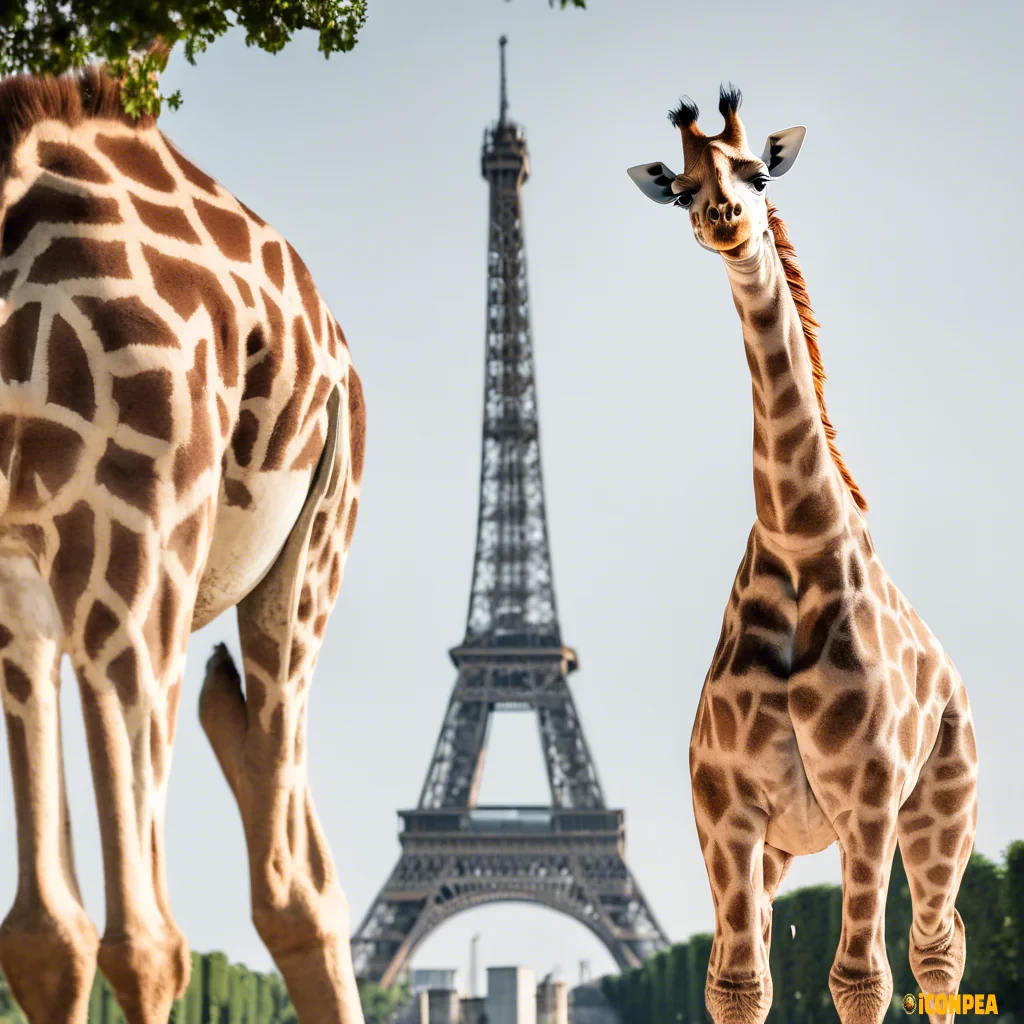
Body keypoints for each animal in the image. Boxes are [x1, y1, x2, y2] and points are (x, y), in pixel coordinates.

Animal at [0, 65, 366, 1023]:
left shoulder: (130, 533)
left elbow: (143, 939)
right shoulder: (17, 575)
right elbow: (45, 938)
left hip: (287, 557)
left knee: (289, 882)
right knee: (291, 871)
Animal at [628, 87, 977, 1024]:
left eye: (756, 174)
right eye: (681, 187)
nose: (724, 219)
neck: (797, 541)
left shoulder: (867, 801)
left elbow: (860, 979)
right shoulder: (727, 812)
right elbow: (738, 984)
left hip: (942, 815)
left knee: (938, 950)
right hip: (784, 847)